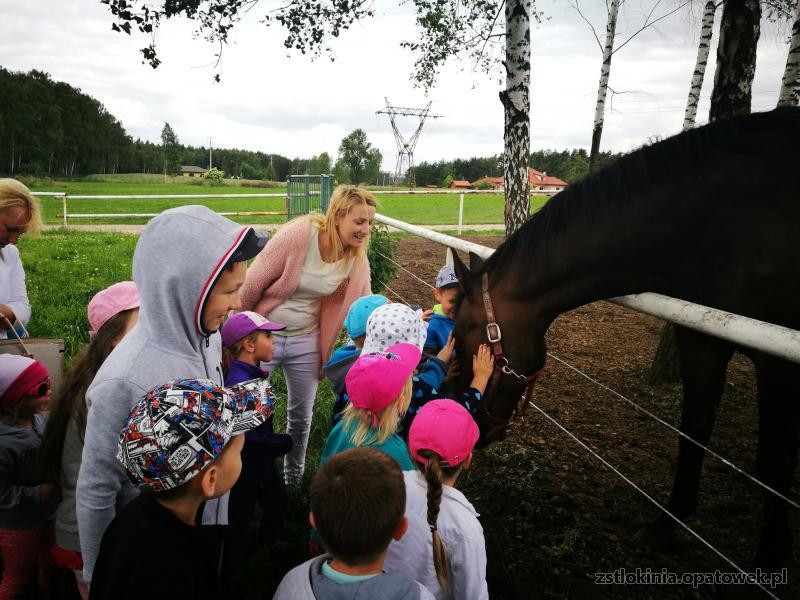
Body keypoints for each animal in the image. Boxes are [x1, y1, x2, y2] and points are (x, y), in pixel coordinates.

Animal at [450, 105, 800, 568]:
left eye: (465, 339)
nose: (464, 423)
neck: (720, 221)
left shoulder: (778, 359)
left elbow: (774, 464)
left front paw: (771, 558)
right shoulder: (702, 339)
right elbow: (695, 429)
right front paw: (668, 524)